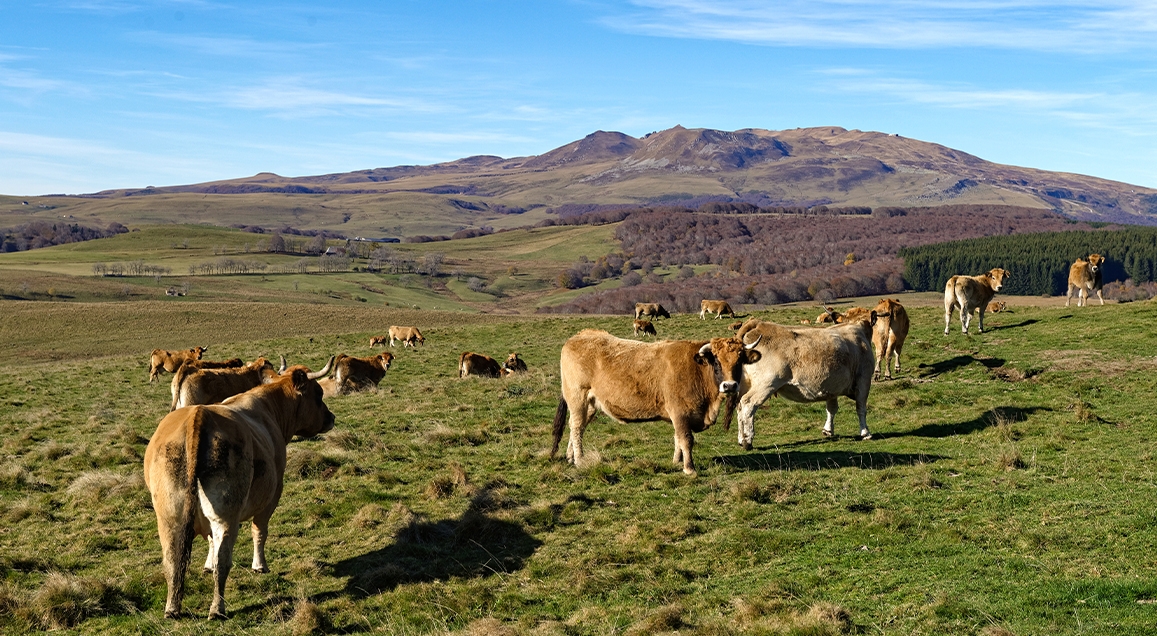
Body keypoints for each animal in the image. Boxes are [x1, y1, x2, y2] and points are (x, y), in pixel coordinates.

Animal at [143, 367, 335, 620]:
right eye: (318, 394)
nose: (331, 418)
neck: (270, 408)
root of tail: (199, 415)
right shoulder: (272, 496)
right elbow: (259, 531)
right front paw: (260, 565)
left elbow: (210, 542)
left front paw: (207, 565)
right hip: (227, 515)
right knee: (224, 561)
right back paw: (217, 608)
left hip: (169, 518)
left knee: (173, 561)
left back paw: (172, 608)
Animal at [551, 330, 762, 476]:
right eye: (716, 361)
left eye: (739, 361)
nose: (730, 385)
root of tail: (581, 335)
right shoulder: (680, 413)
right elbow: (686, 439)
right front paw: (689, 468)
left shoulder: (679, 416)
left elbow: (678, 438)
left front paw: (677, 461)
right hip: (577, 398)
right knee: (576, 426)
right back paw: (579, 459)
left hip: (590, 404)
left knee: (578, 427)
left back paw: (570, 456)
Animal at [733, 316, 876, 449]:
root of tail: (758, 323)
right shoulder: (864, 380)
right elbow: (861, 408)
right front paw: (865, 433)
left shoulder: (832, 387)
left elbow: (831, 409)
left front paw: (828, 430)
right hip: (766, 384)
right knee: (748, 403)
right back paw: (747, 440)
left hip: (745, 384)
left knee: (739, 406)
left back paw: (741, 439)